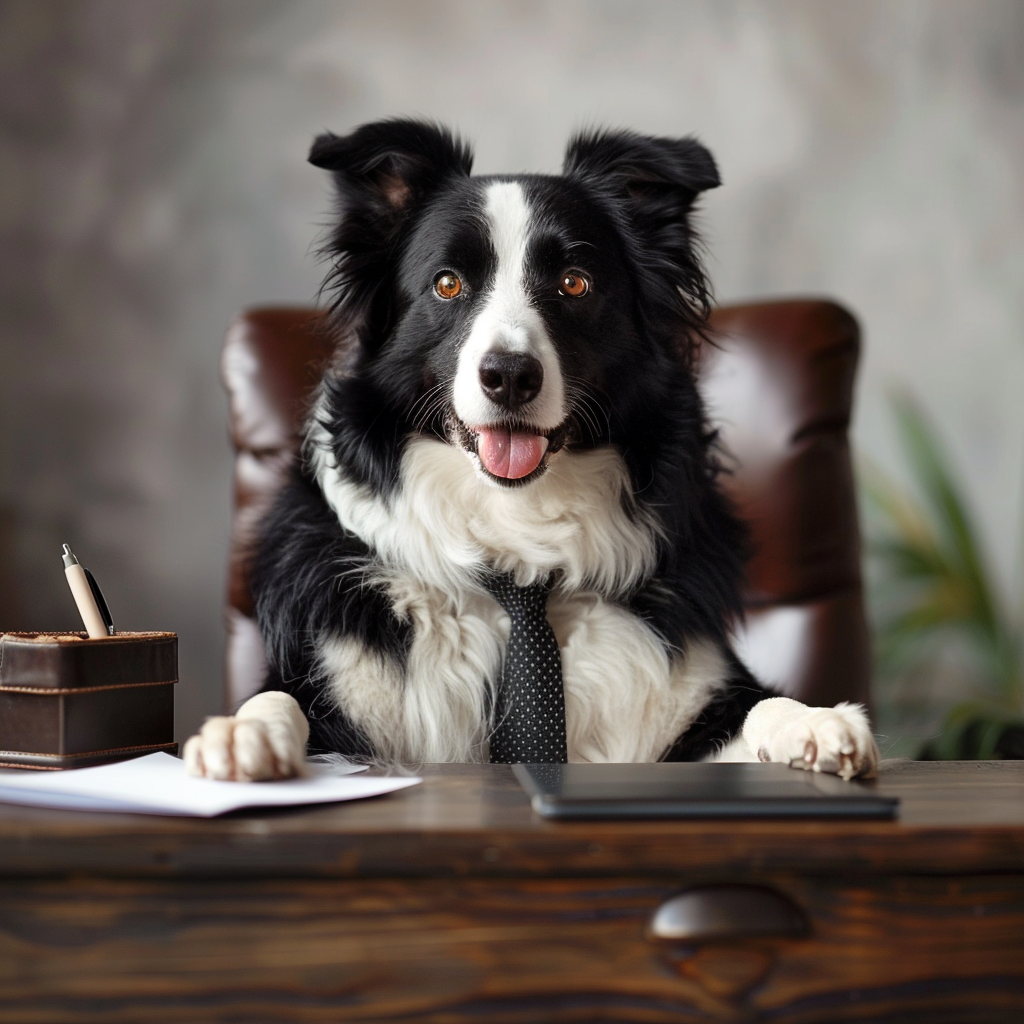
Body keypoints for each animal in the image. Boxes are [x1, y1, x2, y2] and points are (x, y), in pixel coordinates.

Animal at [184, 116, 880, 778]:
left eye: (574, 283)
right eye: (446, 284)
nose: (511, 375)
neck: (517, 553)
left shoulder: (691, 694)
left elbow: (760, 704)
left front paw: (815, 723)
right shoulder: (329, 680)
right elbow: (277, 698)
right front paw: (241, 735)